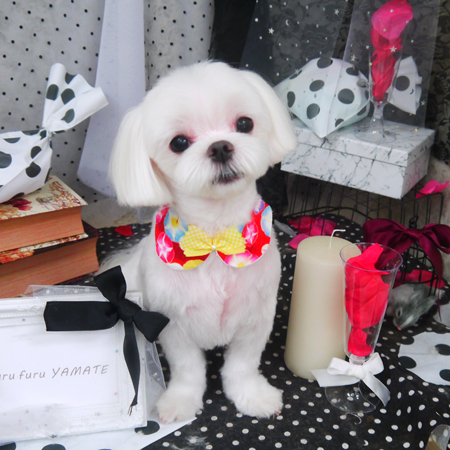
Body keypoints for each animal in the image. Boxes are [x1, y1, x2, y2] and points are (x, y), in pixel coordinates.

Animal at [107, 61, 297, 423]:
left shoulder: (257, 315)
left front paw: (251, 396)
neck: (214, 237)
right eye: (179, 142)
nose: (221, 146)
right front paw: (179, 402)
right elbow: (187, 369)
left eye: (244, 123)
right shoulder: (170, 322)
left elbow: (242, 364)